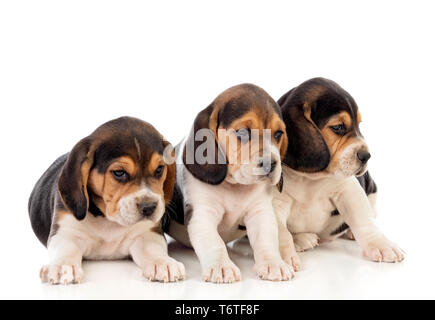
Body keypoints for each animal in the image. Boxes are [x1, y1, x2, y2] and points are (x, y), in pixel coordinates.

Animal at [28, 116, 186, 284]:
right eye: (119, 172)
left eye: (159, 169)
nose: (149, 207)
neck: (107, 219)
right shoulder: (65, 231)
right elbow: (66, 249)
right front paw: (62, 266)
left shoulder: (147, 233)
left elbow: (153, 248)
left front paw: (163, 262)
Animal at [165, 83, 294, 282]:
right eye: (243, 132)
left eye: (279, 134)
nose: (271, 163)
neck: (234, 186)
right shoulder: (202, 215)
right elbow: (215, 242)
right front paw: (222, 267)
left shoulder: (260, 213)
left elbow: (266, 240)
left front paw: (274, 263)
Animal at [274, 77, 408, 264]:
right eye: (338, 127)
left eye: (359, 125)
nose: (366, 156)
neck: (309, 179)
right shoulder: (275, 202)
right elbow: (280, 232)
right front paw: (280, 257)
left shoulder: (348, 190)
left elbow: (364, 220)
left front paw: (382, 245)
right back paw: (302, 239)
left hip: (372, 189)